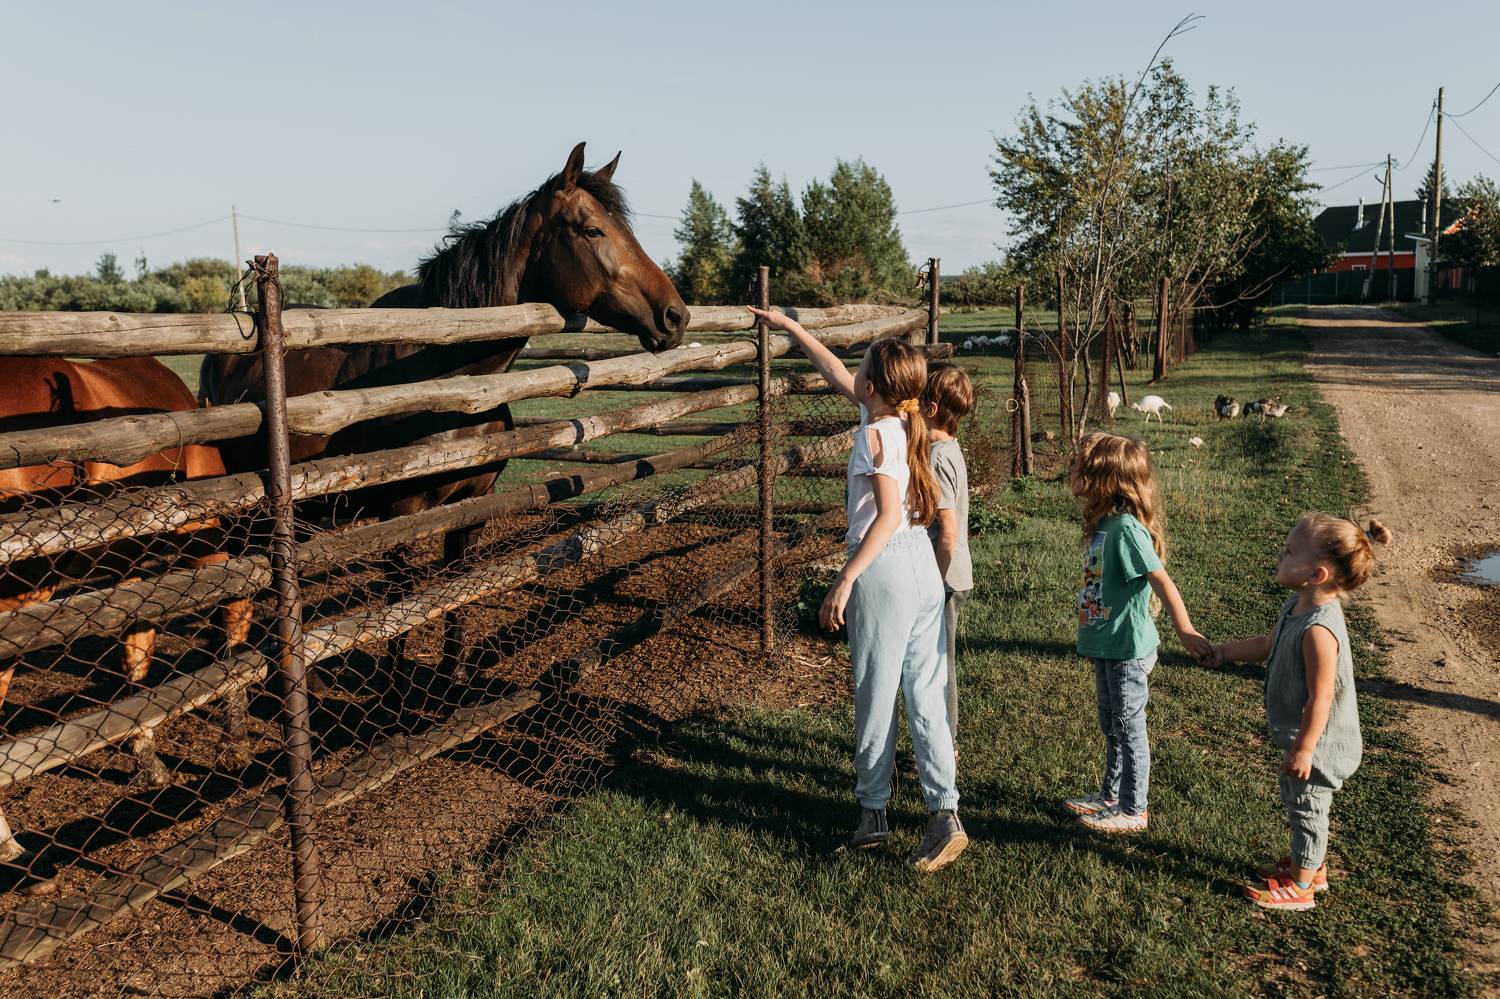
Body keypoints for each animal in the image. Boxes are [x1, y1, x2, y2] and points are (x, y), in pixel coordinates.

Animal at [201, 141, 688, 687]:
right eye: (592, 230)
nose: (675, 316)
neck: (452, 375)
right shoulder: (399, 515)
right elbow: (400, 605)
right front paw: (396, 689)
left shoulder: (469, 509)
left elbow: (456, 593)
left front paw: (452, 679)